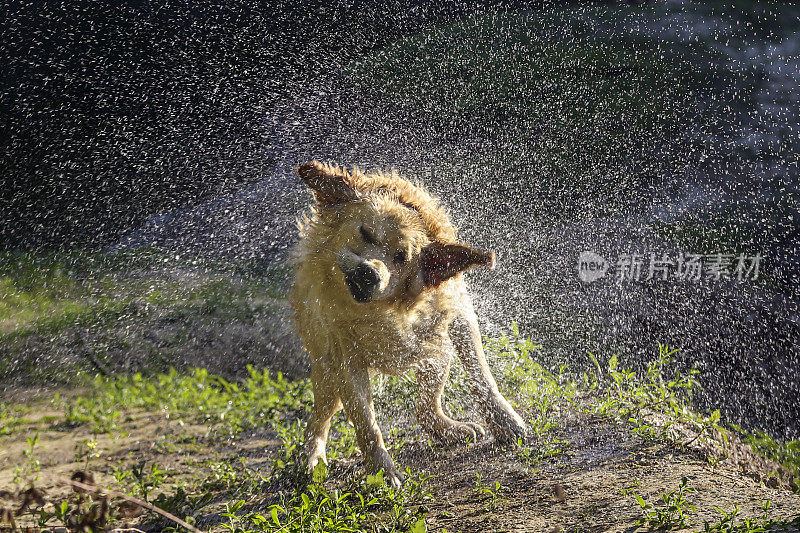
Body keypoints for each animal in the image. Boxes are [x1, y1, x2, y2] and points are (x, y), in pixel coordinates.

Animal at [290, 160, 528, 484]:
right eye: (365, 233)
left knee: (426, 405)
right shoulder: (344, 355)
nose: (369, 273)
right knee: (320, 417)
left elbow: (480, 375)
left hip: (434, 349)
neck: (383, 311)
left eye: (402, 257)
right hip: (325, 367)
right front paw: (381, 471)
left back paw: (448, 428)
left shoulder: (456, 312)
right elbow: (366, 424)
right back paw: (312, 456)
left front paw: (505, 421)